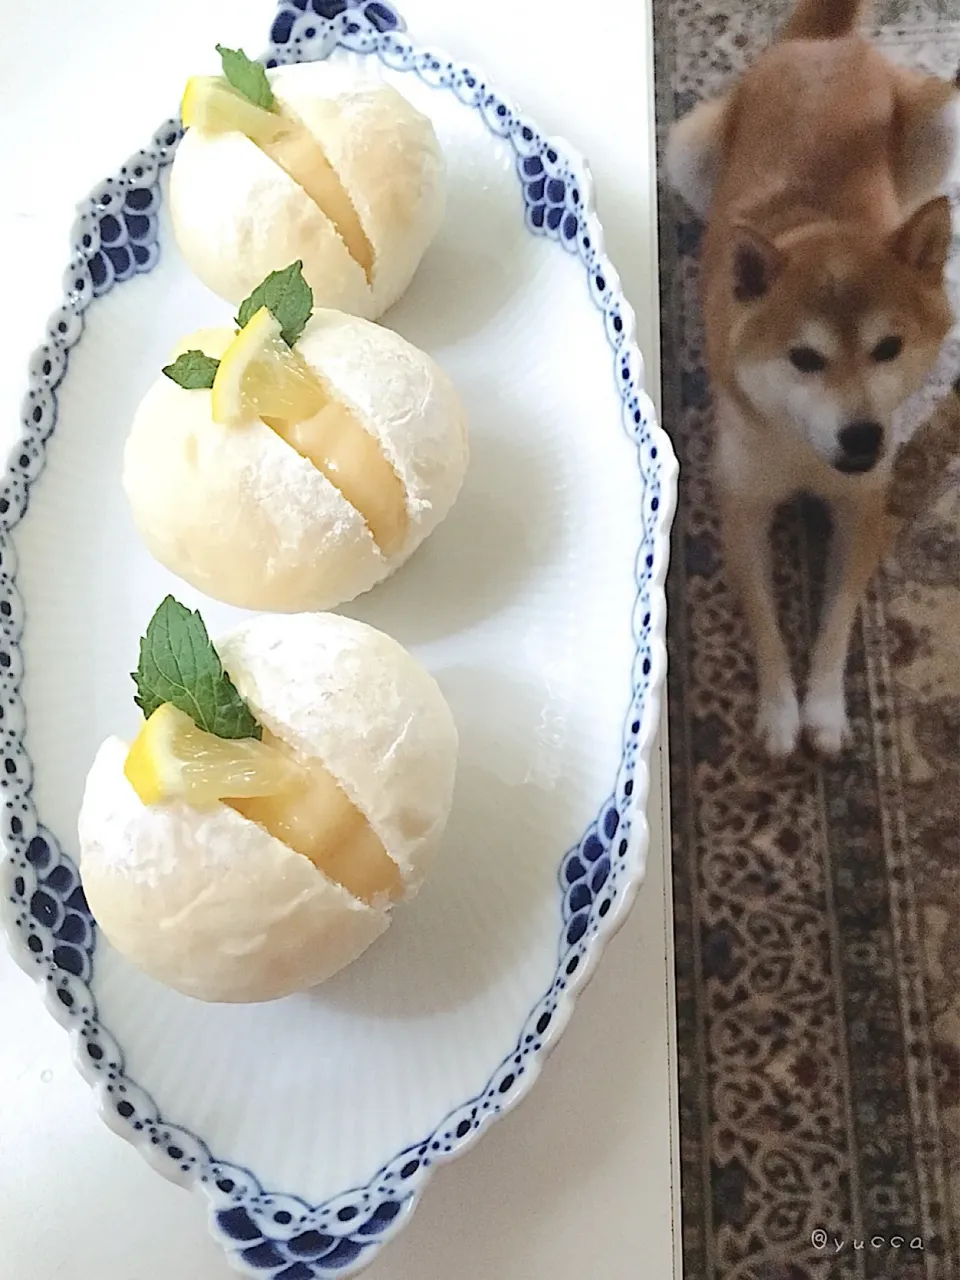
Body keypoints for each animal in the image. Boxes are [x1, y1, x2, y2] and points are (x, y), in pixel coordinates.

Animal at [670, 0, 960, 752]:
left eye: (889, 348)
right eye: (804, 358)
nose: (862, 438)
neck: (803, 452)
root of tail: (825, 43)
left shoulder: (861, 508)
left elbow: (837, 622)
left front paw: (825, 711)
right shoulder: (742, 506)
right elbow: (768, 626)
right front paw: (779, 712)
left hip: (937, 132)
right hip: (686, 149)